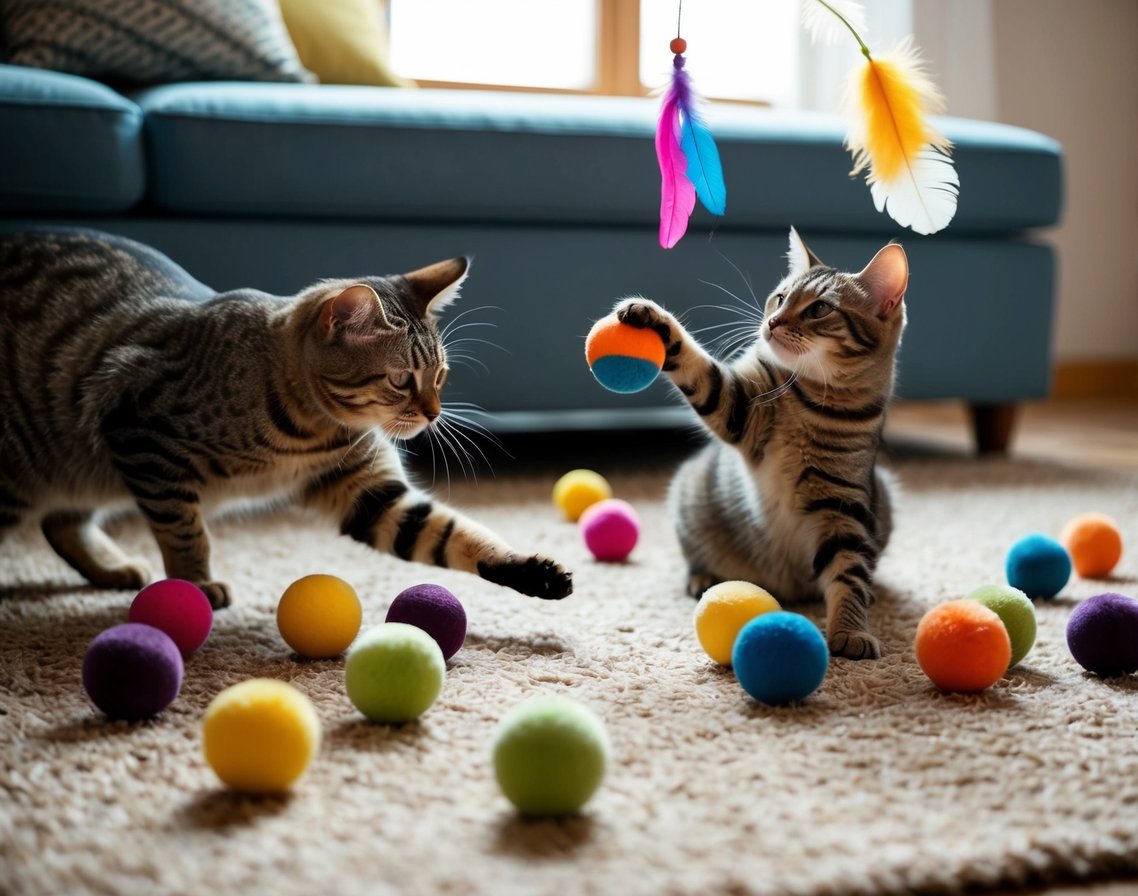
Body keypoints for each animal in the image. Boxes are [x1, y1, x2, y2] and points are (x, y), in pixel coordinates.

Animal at [0, 231, 569, 610]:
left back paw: (112, 566)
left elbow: (457, 534)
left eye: (441, 375)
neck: (310, 431)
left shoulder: (371, 495)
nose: (433, 414)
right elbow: (186, 531)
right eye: (401, 380)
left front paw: (532, 573)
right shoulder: (143, 433)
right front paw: (195, 584)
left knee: (60, 521)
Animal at [614, 229, 905, 660]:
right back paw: (703, 576)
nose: (772, 322)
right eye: (781, 298)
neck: (812, 398)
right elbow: (697, 368)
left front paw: (851, 629)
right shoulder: (737, 407)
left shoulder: (844, 507)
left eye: (820, 309)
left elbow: (849, 573)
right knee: (694, 555)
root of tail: (784, 589)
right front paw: (651, 318)